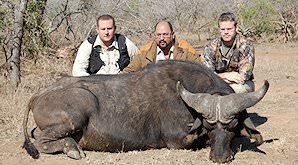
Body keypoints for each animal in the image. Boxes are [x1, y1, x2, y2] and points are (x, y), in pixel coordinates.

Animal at [22, 60, 270, 163]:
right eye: (209, 127)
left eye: (232, 126)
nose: (219, 158)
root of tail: (39, 94)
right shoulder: (177, 140)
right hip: (78, 109)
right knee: (43, 141)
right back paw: (72, 148)